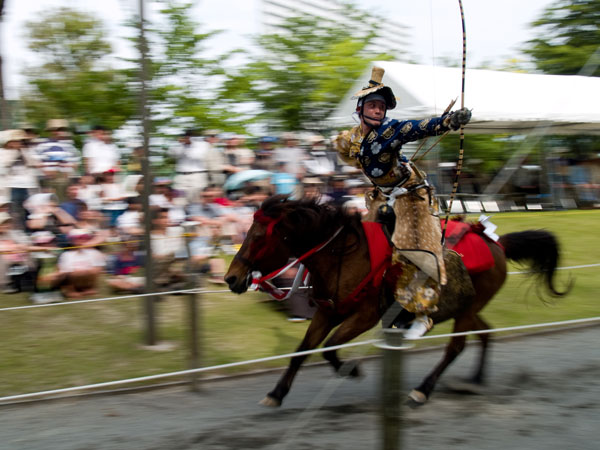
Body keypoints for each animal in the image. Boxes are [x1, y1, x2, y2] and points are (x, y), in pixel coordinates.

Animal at [224, 195, 568, 406]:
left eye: (258, 237)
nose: (232, 278)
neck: (343, 255)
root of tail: (494, 241)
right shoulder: (327, 312)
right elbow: (302, 351)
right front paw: (276, 393)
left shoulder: (365, 316)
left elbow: (328, 348)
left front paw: (351, 370)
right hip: (467, 307)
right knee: (485, 333)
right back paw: (475, 379)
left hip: (468, 308)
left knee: (456, 347)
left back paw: (422, 390)